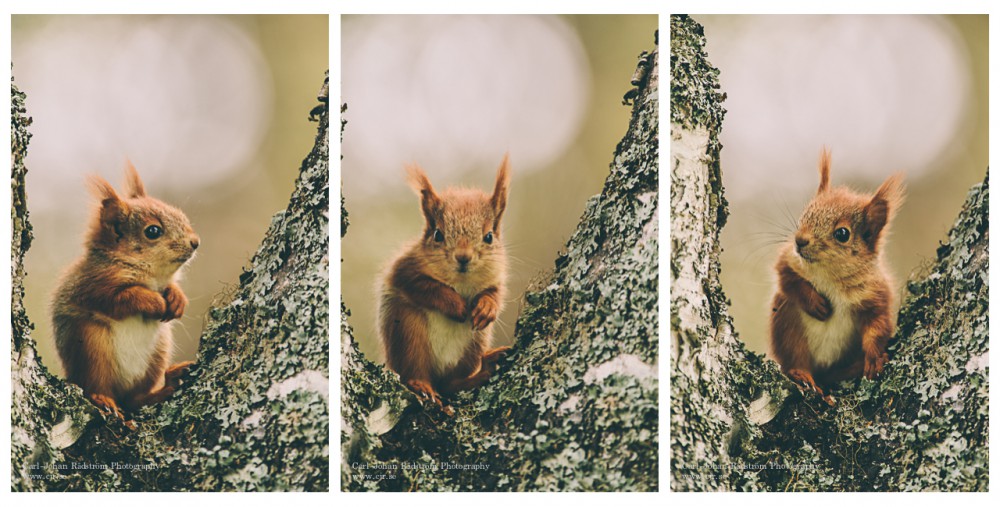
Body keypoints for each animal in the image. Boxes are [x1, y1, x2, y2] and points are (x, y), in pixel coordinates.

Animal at [52, 163, 199, 420]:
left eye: (181, 215)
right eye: (153, 231)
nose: (195, 242)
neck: (151, 276)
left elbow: (171, 288)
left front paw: (177, 299)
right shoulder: (94, 287)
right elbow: (125, 298)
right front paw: (155, 302)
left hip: (158, 353)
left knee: (135, 401)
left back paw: (170, 382)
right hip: (91, 346)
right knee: (95, 387)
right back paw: (103, 399)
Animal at [378, 156, 512, 412]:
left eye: (489, 236)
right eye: (438, 235)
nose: (463, 257)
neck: (462, 282)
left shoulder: (496, 278)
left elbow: (495, 294)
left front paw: (486, 308)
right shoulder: (405, 269)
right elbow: (426, 287)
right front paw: (456, 305)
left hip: (473, 345)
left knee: (451, 384)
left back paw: (485, 369)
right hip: (409, 333)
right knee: (415, 374)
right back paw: (421, 385)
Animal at [768, 149, 904, 402]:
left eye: (842, 233)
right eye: (805, 212)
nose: (799, 241)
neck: (830, 275)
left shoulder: (876, 294)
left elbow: (877, 326)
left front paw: (874, 359)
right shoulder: (788, 259)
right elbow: (787, 278)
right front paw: (816, 304)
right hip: (788, 326)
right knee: (795, 359)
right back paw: (801, 374)